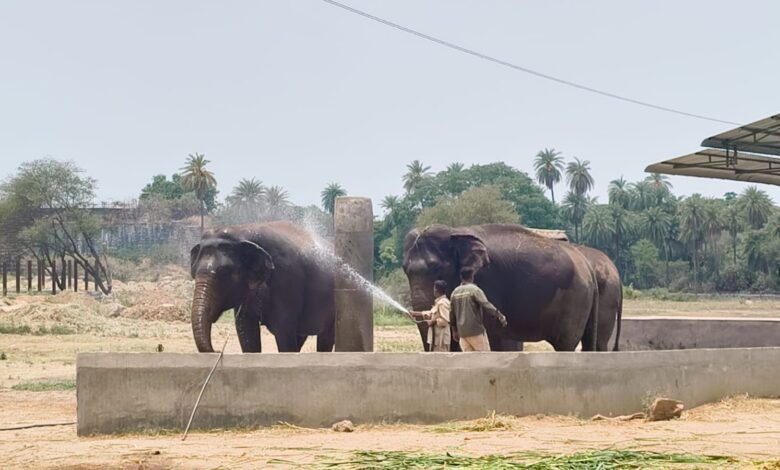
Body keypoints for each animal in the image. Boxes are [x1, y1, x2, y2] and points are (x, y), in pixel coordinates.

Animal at [189, 221, 335, 353]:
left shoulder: (288, 280)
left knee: (325, 338)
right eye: (194, 273)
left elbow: (284, 331)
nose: (217, 350)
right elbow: (245, 328)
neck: (242, 231)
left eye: (224, 272)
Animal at [403, 224, 600, 352]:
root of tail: (587, 265)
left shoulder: (488, 281)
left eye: (437, 269)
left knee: (565, 343)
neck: (456, 231)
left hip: (576, 298)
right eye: (405, 270)